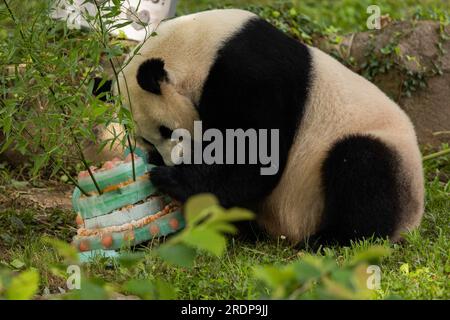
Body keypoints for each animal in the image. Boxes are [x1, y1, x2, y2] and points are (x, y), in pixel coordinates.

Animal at [113, 9, 426, 245]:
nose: (176, 161)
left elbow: (255, 153)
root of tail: (413, 219)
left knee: (363, 169)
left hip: (383, 155)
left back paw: (330, 240)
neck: (197, 47)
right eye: (149, 141)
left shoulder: (252, 75)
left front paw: (171, 178)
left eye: (166, 130)